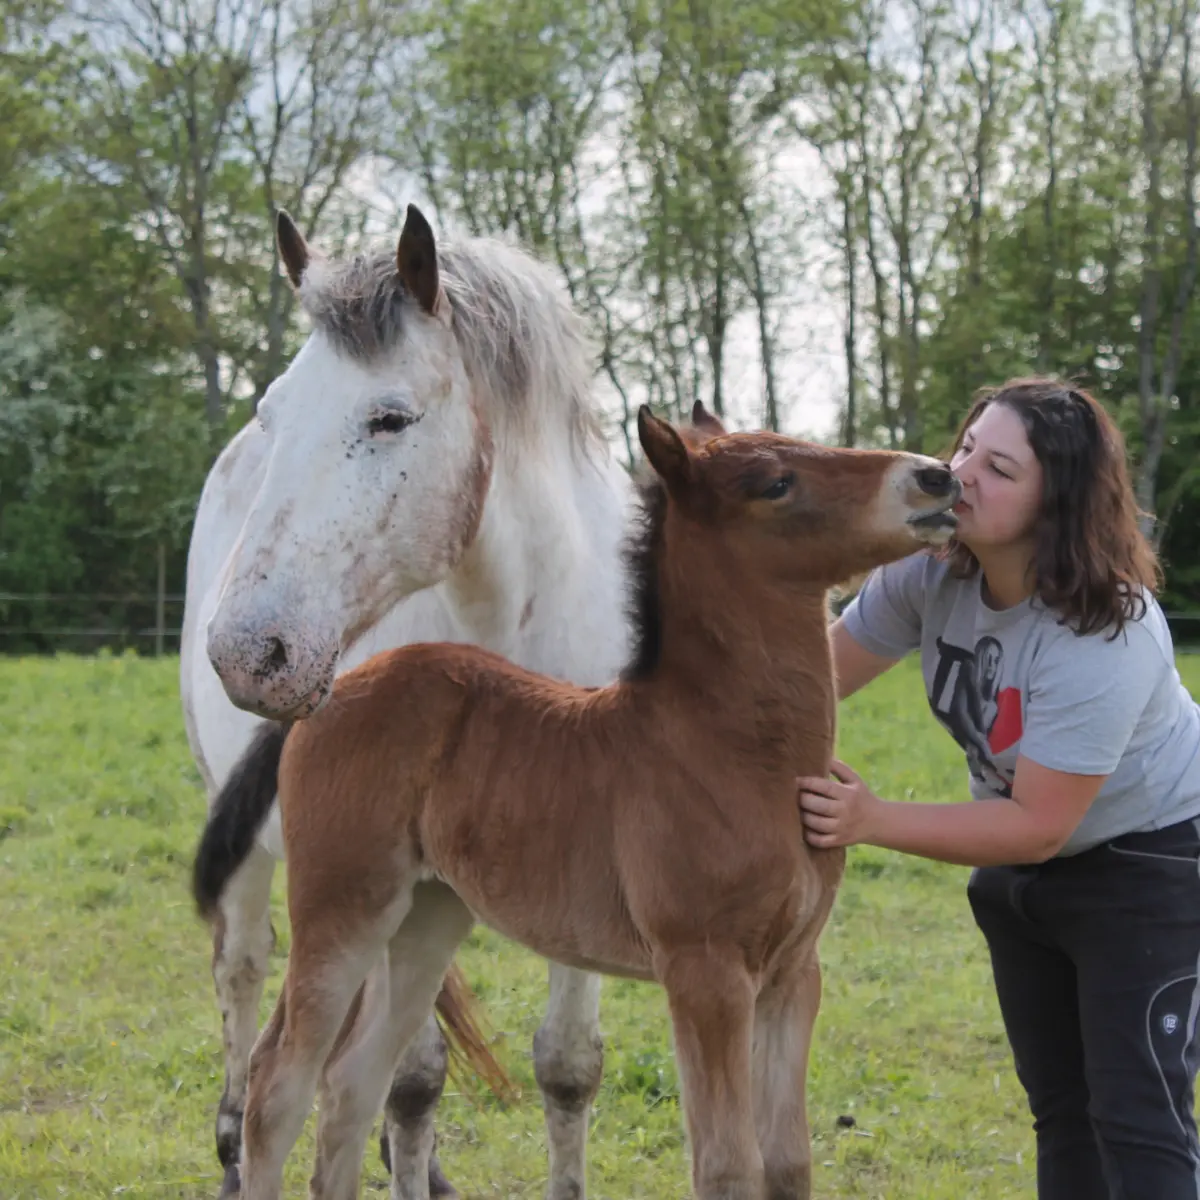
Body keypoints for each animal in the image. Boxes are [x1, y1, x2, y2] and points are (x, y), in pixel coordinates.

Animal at [180, 201, 638, 1195]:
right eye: (273, 415)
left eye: (389, 418)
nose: (245, 654)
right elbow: (413, 1080)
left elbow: (568, 1067)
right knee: (243, 971)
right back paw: (235, 1144)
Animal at [192, 405, 955, 1200]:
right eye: (776, 482)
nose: (936, 477)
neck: (734, 751)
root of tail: (327, 695)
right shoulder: (705, 972)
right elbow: (727, 1165)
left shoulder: (792, 975)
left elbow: (787, 1162)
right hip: (342, 908)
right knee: (279, 1084)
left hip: (425, 916)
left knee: (351, 1085)